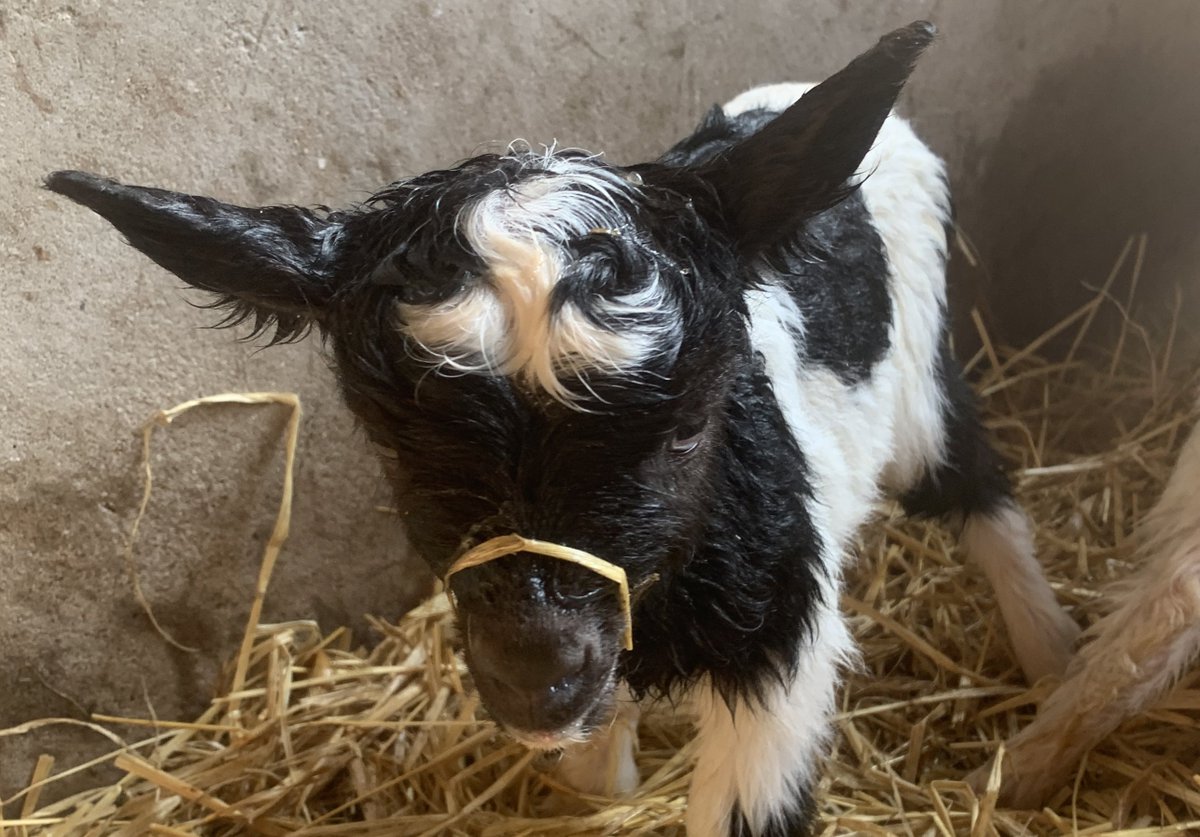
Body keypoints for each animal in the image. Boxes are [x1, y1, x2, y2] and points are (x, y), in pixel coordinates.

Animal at [46, 22, 1078, 836]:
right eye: (397, 452)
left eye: (687, 430)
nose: (534, 674)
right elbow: (591, 770)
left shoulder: (782, 636)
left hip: (919, 374)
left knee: (973, 483)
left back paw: (1054, 656)